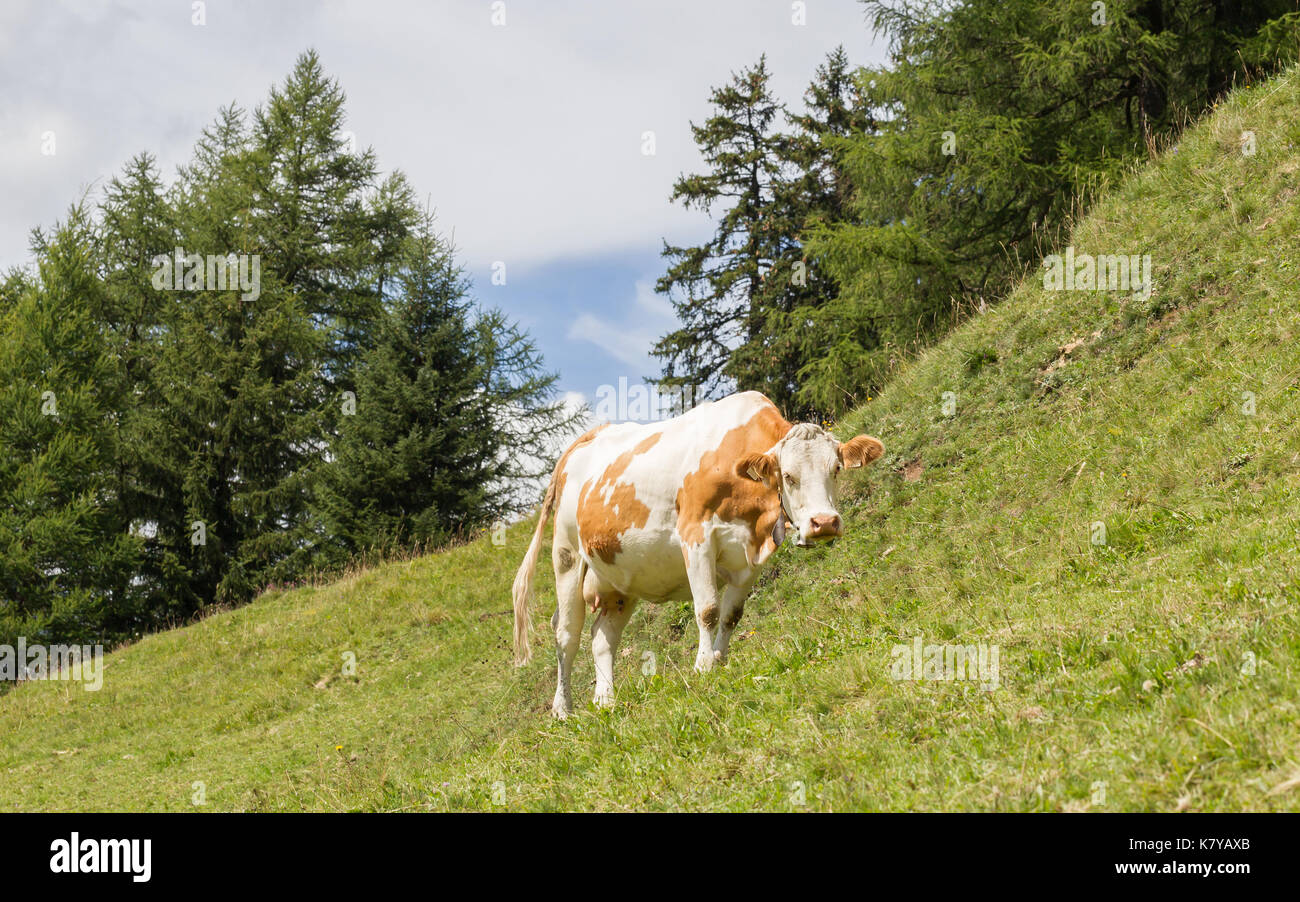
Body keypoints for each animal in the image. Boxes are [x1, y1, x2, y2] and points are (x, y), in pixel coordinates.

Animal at [512, 390, 884, 717]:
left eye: (836, 469)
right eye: (788, 476)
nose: (825, 523)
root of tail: (588, 437)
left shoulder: (751, 555)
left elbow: (732, 614)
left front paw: (720, 661)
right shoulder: (696, 535)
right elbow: (707, 610)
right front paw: (703, 666)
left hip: (619, 579)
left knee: (602, 638)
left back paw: (606, 701)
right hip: (567, 556)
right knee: (566, 635)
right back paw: (563, 709)